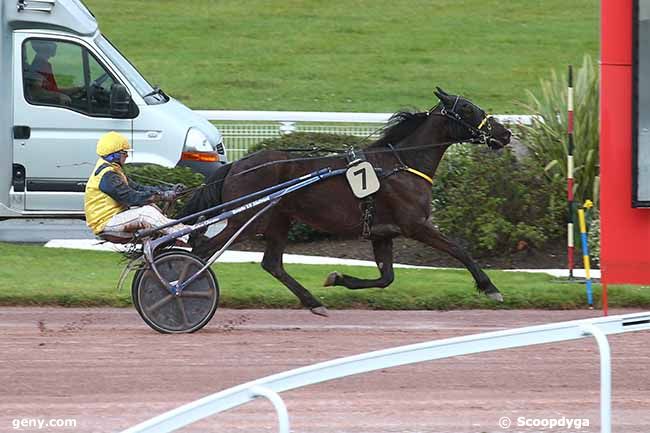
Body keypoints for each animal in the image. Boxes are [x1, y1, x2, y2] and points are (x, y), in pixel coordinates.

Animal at [180, 88, 508, 316]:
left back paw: (313, 302)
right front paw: (490, 287)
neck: (401, 164)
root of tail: (236, 165)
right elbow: (459, 250)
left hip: (279, 218)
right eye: (466, 108)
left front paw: (337, 278)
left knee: (272, 263)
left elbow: (386, 278)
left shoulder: (382, 233)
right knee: (203, 250)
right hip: (248, 219)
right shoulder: (415, 225)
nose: (504, 133)